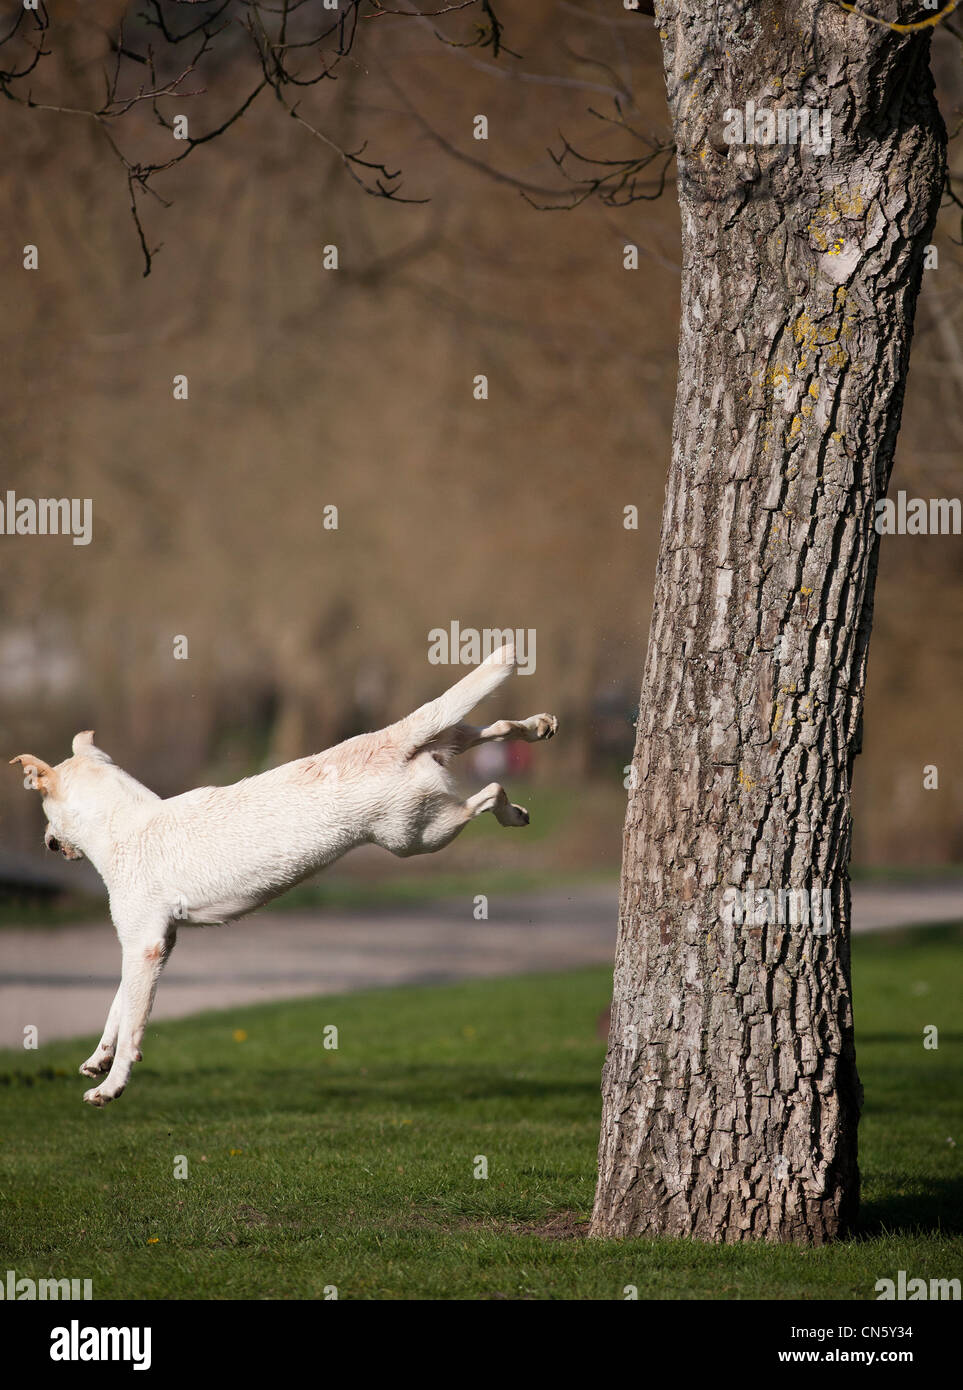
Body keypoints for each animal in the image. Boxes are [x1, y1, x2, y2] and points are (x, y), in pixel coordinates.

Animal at [11, 639, 555, 1106]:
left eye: (43, 809)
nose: (46, 840)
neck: (123, 822)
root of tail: (391, 740)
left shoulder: (144, 945)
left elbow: (131, 1027)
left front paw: (111, 1086)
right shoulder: (153, 944)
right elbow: (117, 1008)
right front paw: (98, 1058)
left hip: (418, 836)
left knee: (489, 791)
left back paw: (512, 812)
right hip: (440, 761)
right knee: (486, 728)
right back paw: (537, 725)